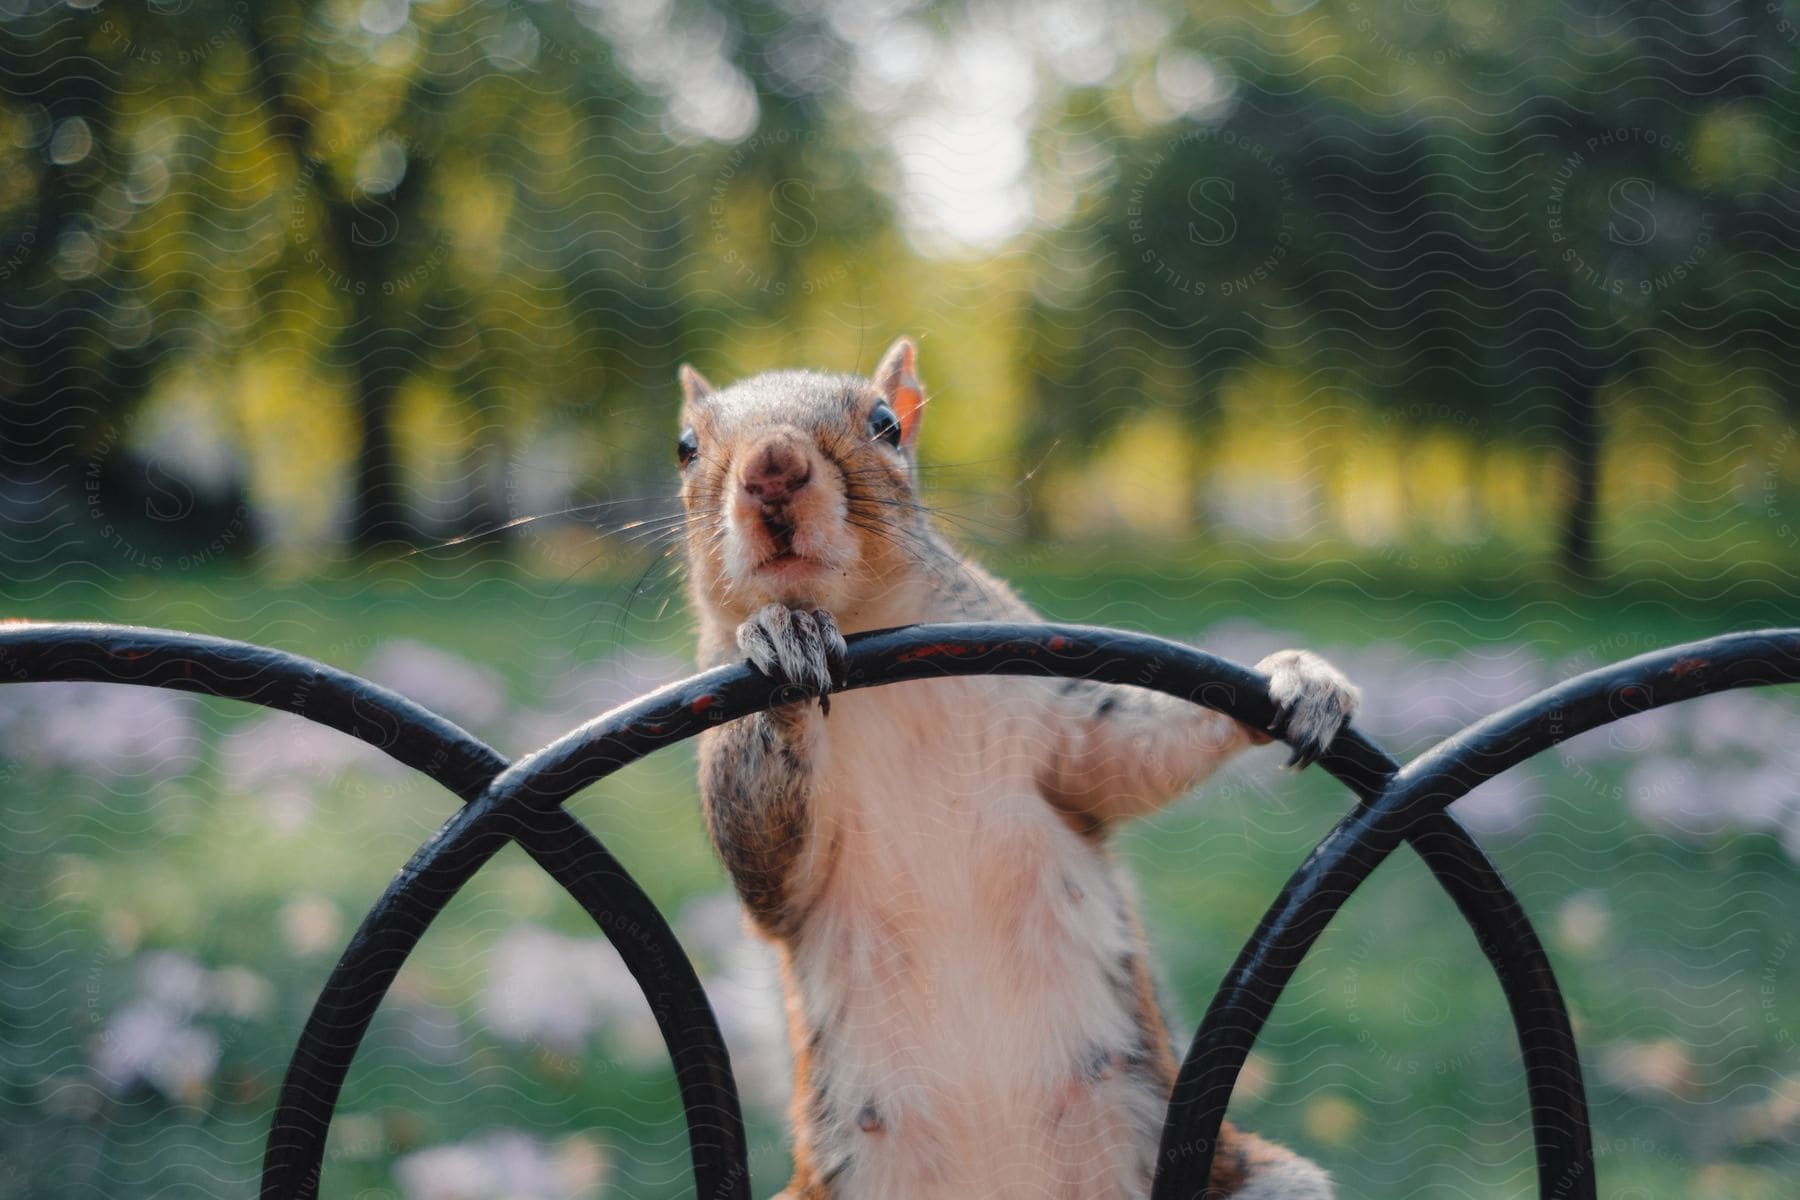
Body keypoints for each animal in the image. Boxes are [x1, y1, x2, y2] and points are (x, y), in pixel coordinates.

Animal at [680, 340, 1353, 1200]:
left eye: (886, 423)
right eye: (685, 446)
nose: (773, 466)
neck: (868, 636)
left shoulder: (1061, 727)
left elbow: (1125, 755)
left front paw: (1298, 678)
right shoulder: (775, 874)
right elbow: (764, 868)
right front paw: (781, 632)